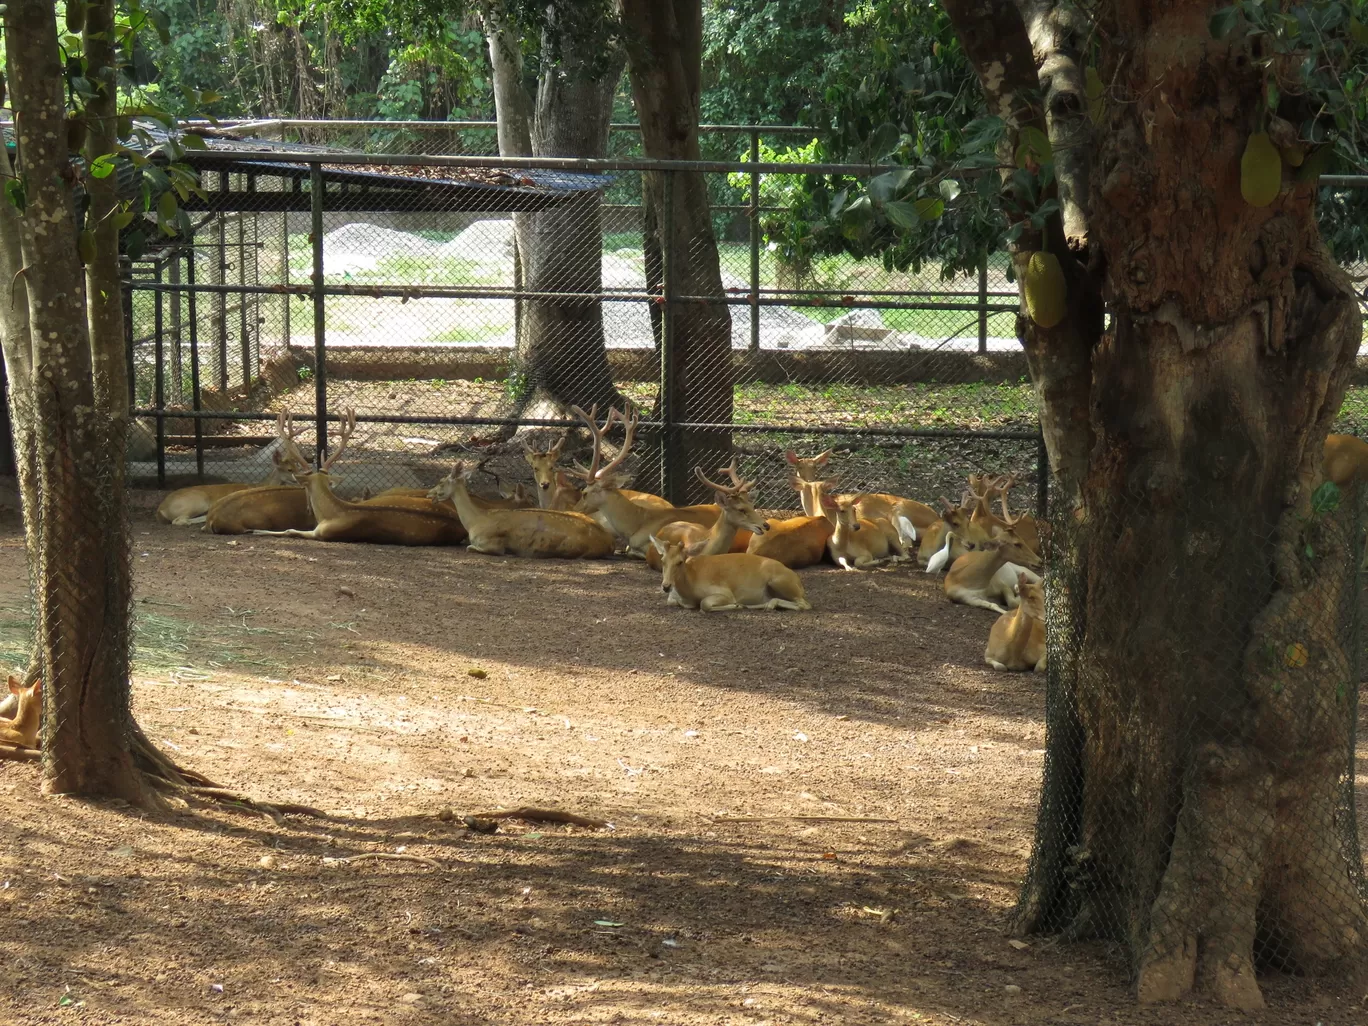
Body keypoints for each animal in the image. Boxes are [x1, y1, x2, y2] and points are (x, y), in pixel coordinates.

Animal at [251, 410, 470, 547]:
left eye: (304, 487)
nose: (307, 509)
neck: (331, 513)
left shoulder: (323, 533)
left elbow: (290, 530)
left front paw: (257, 531)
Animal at [653, 538, 809, 610]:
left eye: (680, 562)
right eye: (662, 560)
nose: (665, 586)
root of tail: (799, 583)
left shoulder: (724, 592)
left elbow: (704, 604)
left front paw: (735, 605)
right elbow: (672, 601)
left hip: (779, 581)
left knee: (805, 604)